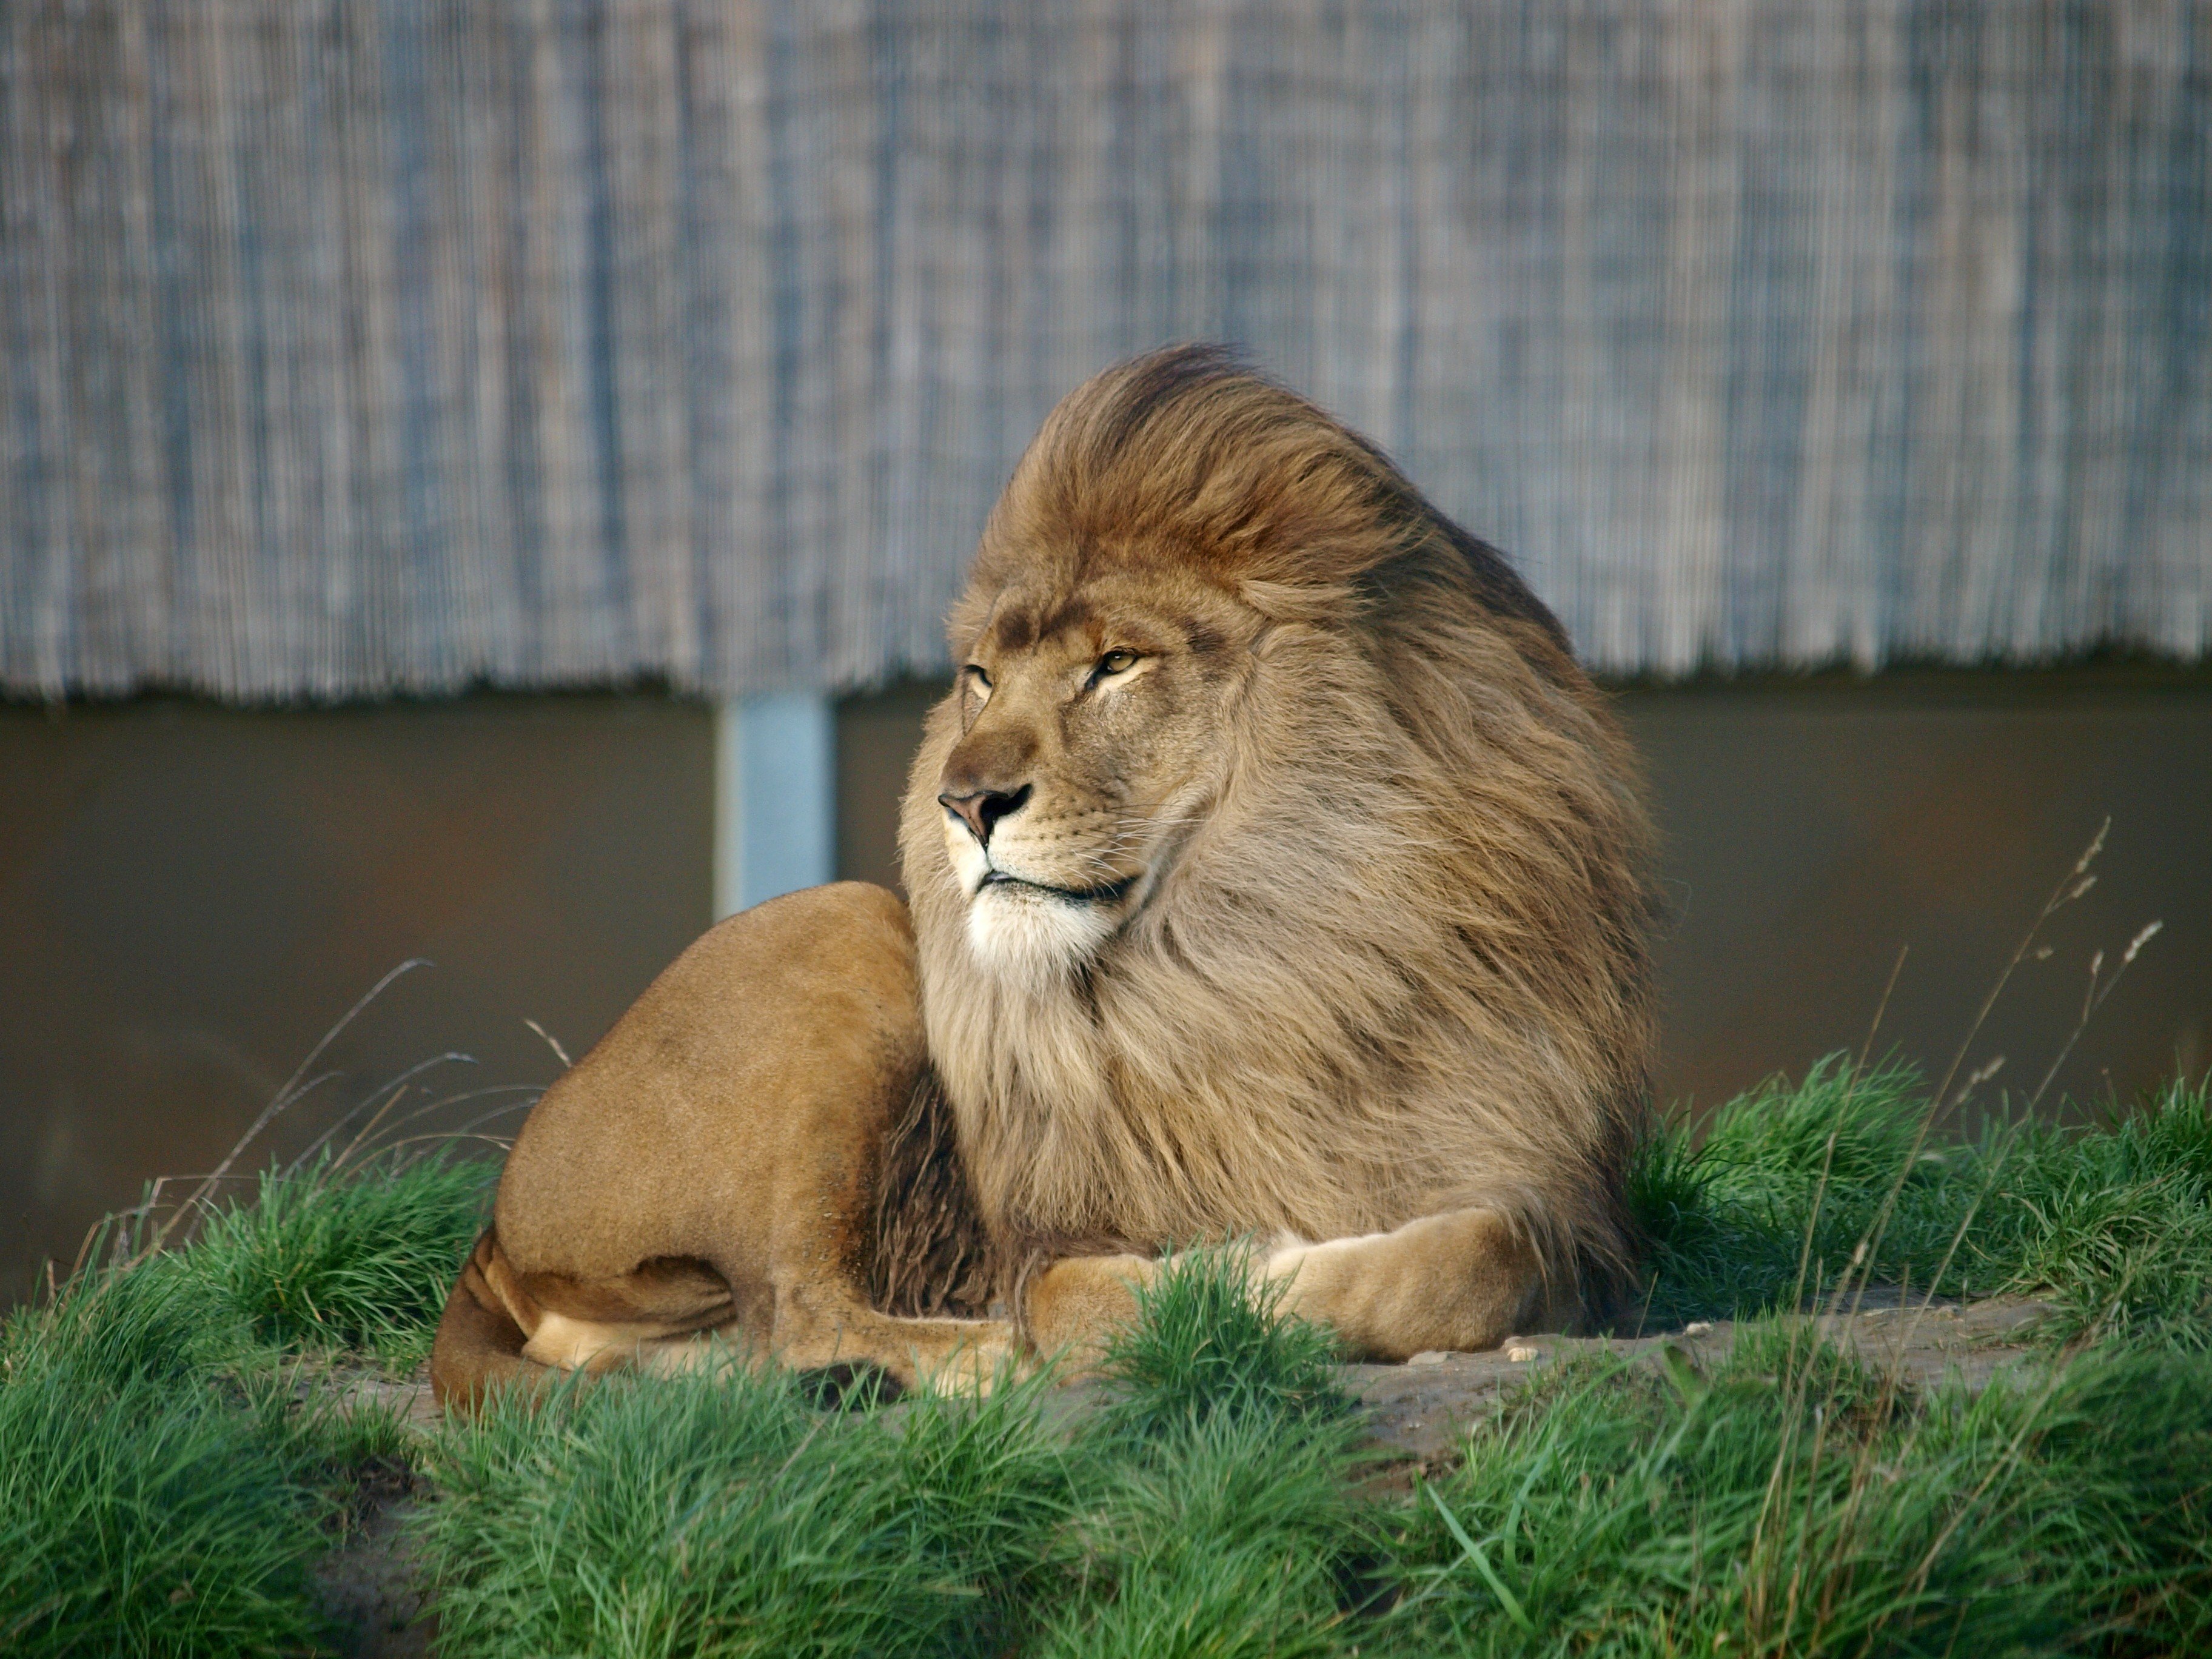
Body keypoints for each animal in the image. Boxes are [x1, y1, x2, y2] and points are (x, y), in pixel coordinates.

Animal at [431, 345, 1654, 1407]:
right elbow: (1089, 1297)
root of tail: (491, 1230)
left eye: (1115, 663)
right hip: (844, 924)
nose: (964, 804)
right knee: (800, 1312)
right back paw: (987, 1364)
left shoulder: (1568, 1207)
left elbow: (1480, 1260)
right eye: (981, 678)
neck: (1261, 955)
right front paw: (1227, 1276)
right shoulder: (1047, 1242)